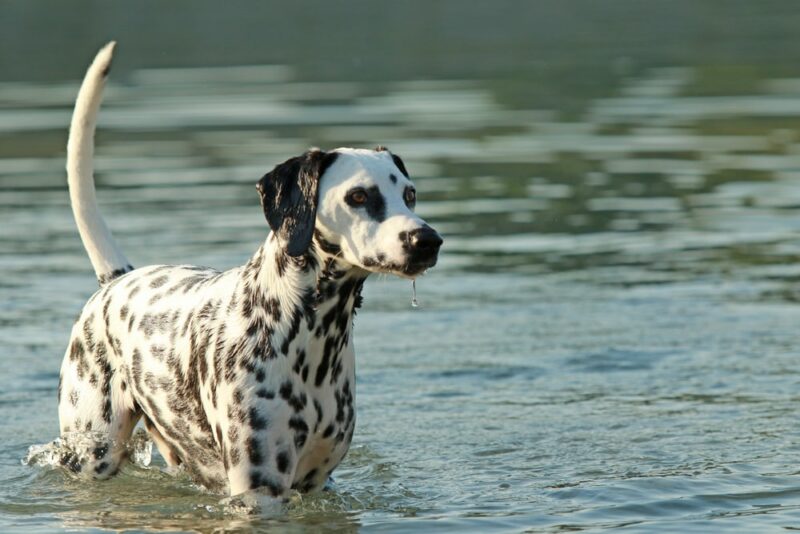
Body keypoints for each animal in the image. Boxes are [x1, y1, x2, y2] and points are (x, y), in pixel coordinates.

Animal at [56, 44, 444, 500]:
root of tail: (117, 280)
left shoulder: (316, 484)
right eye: (359, 196)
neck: (305, 337)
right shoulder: (258, 489)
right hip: (93, 452)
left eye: (410, 194)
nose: (427, 240)